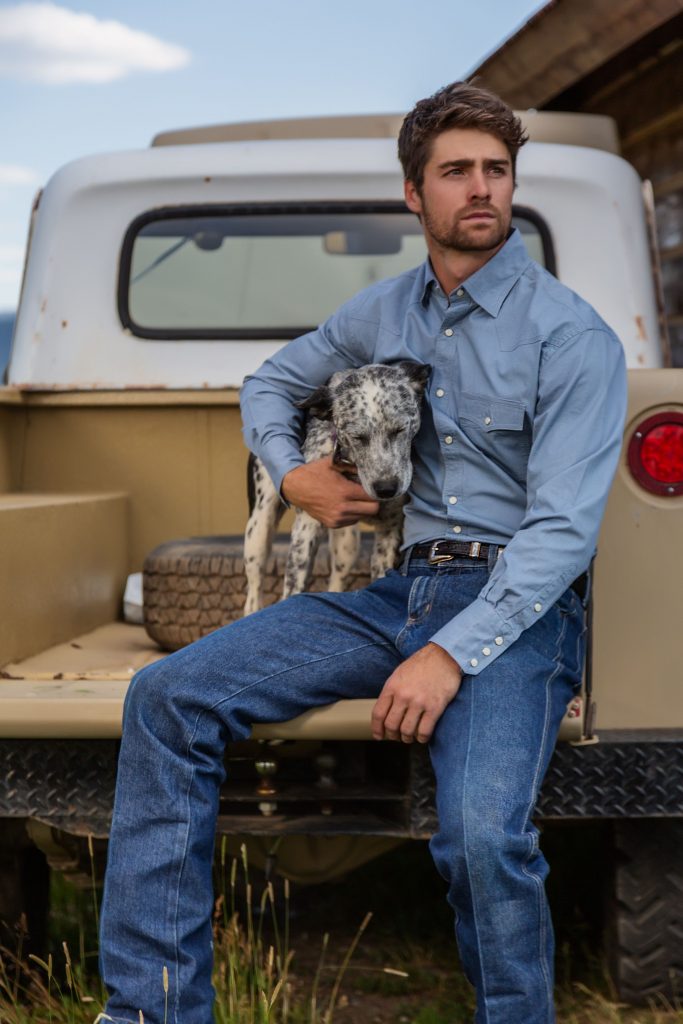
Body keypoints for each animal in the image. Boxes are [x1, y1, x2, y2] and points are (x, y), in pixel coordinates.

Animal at [243, 361, 431, 615]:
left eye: (400, 429)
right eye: (357, 436)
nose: (386, 488)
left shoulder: (390, 531)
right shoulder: (306, 527)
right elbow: (293, 588)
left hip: (347, 543)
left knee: (337, 579)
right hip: (259, 530)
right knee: (254, 591)